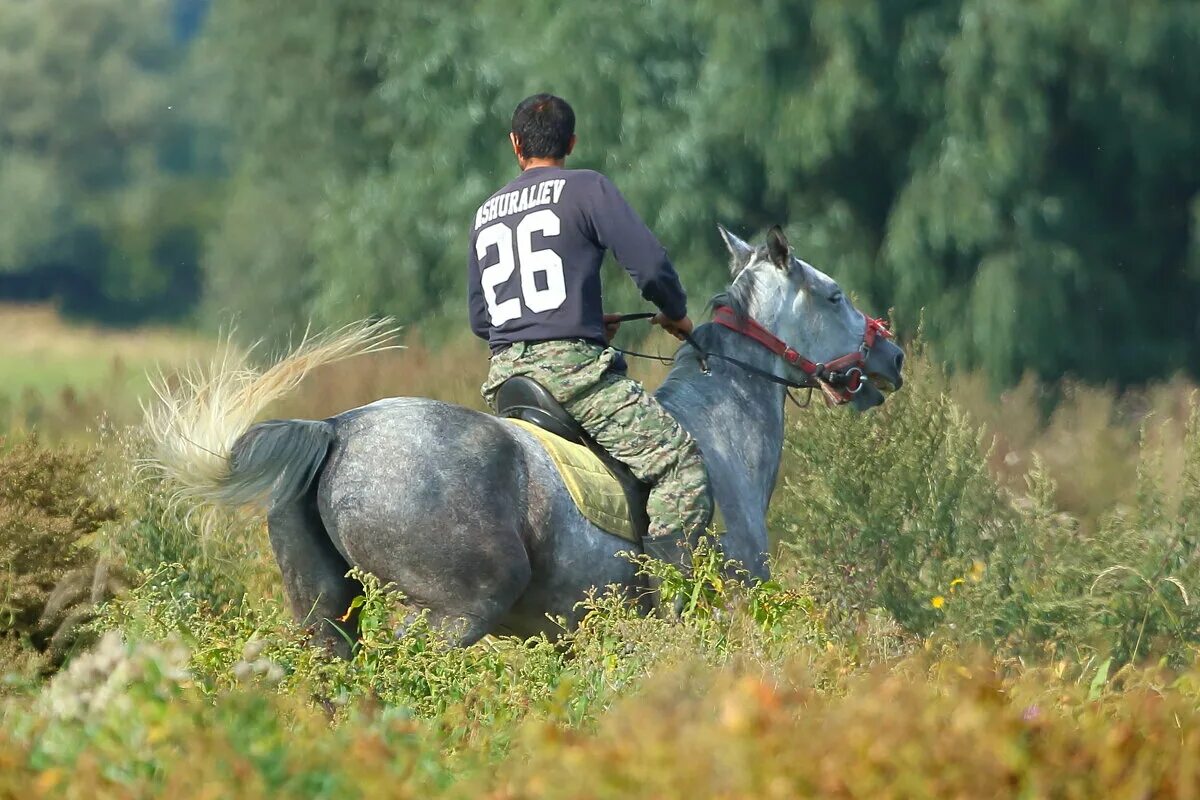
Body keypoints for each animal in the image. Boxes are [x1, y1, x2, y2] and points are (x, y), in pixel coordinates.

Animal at [147, 225, 902, 652]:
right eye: (834, 296)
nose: (892, 356)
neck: (719, 428)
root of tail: (335, 430)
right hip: (451, 610)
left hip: (325, 616)